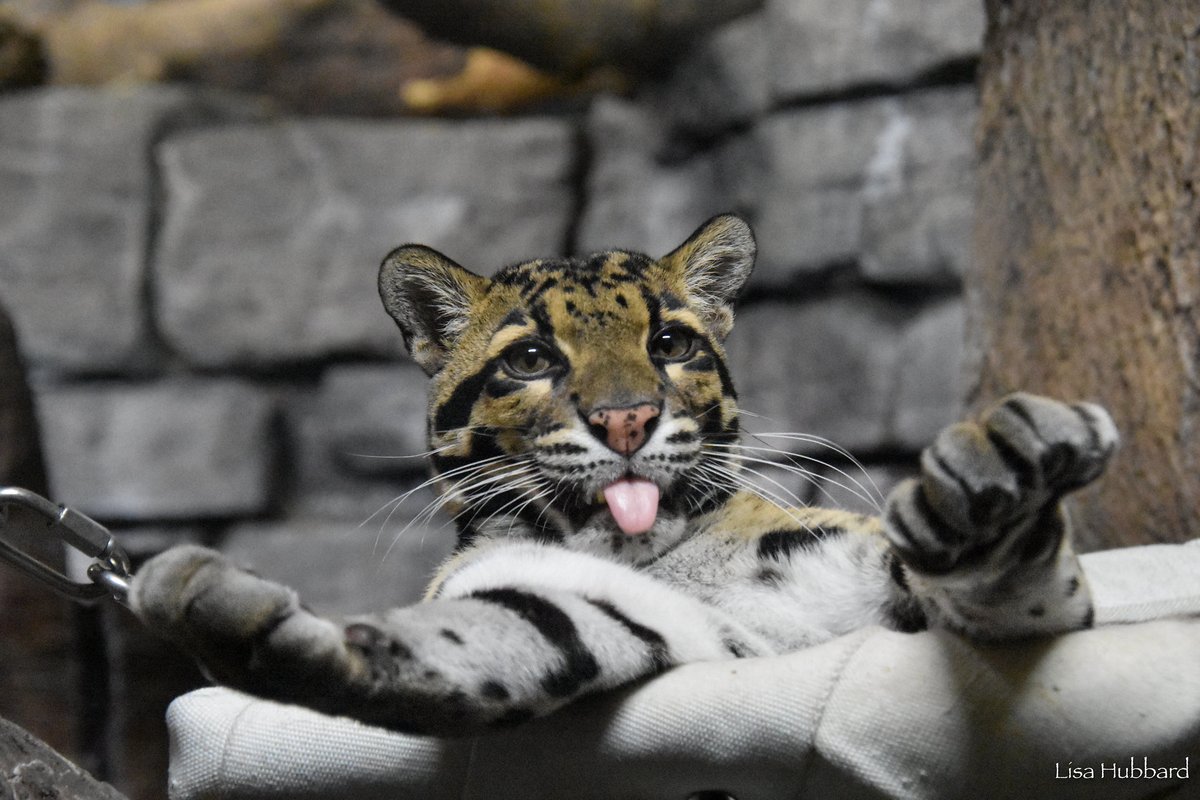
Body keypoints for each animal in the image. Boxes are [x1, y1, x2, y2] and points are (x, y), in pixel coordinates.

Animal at [130, 214, 1119, 735]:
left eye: (671, 343)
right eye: (530, 359)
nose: (627, 419)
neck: (649, 552)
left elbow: (1013, 598)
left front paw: (992, 489)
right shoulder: (608, 610)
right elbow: (481, 636)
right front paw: (269, 634)